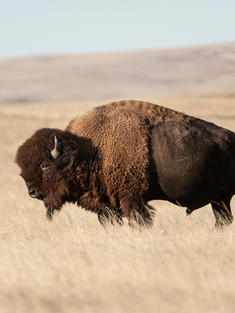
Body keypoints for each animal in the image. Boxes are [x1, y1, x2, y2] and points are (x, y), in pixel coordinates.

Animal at [15, 100, 234, 227]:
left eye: (45, 165)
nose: (32, 191)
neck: (89, 150)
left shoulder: (132, 200)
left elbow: (140, 220)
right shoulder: (107, 205)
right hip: (220, 200)